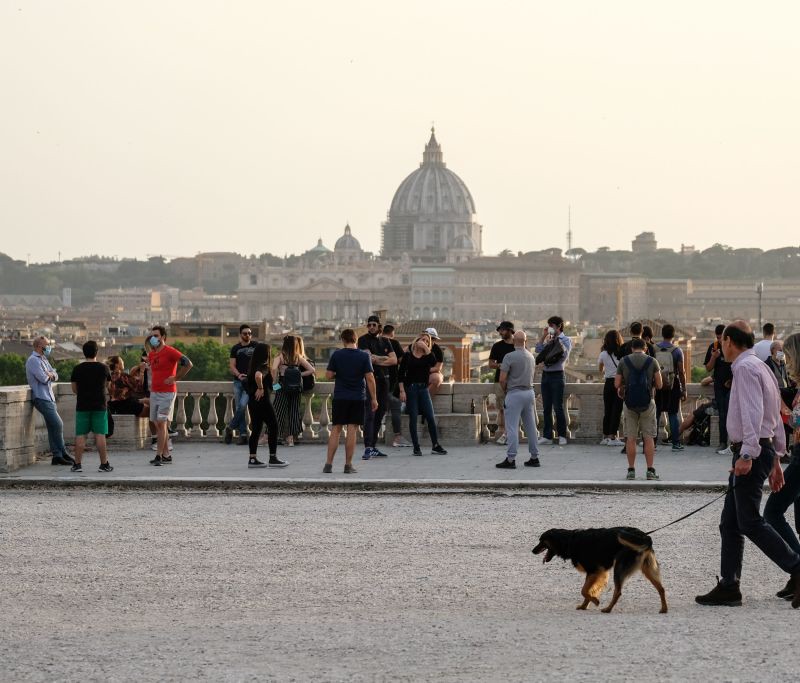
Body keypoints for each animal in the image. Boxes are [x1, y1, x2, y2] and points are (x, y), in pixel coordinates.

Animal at [536, 528, 664, 616]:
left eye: (542, 541)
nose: (533, 550)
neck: (569, 541)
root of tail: (645, 537)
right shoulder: (598, 572)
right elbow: (587, 590)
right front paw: (584, 606)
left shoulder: (594, 571)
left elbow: (584, 590)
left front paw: (595, 601)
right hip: (648, 569)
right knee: (661, 589)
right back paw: (664, 609)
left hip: (619, 567)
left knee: (617, 592)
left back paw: (608, 609)